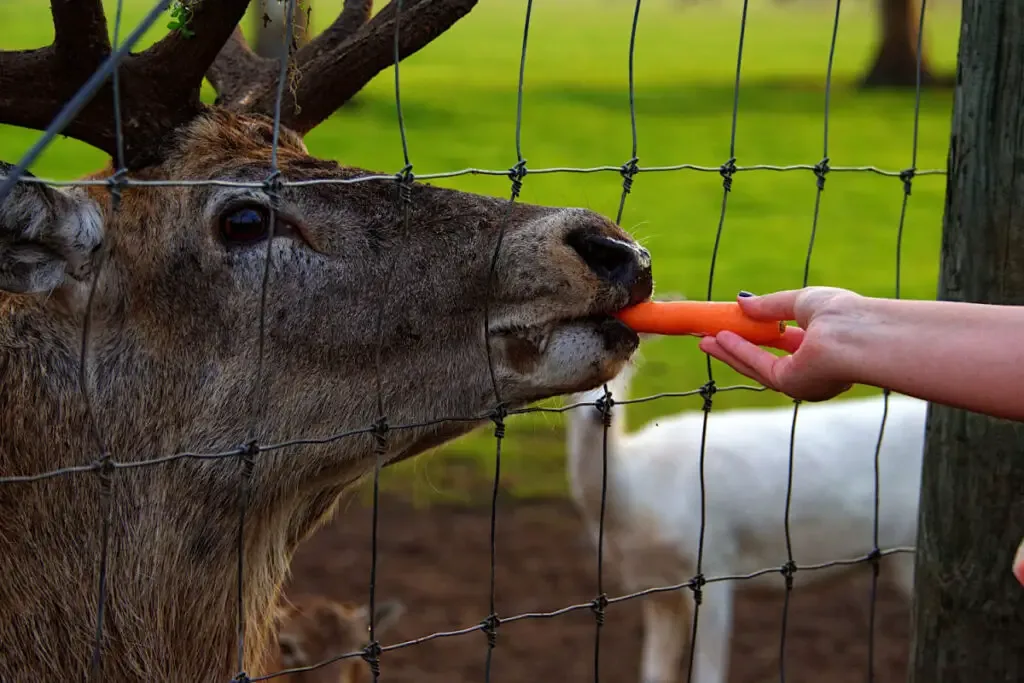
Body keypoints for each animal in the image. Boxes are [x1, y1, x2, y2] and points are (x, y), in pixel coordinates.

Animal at [565, 362, 925, 683]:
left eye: (625, 372)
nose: (600, 410)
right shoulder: (654, 588)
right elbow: (654, 674)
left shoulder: (713, 560)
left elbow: (707, 673)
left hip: (910, 550)